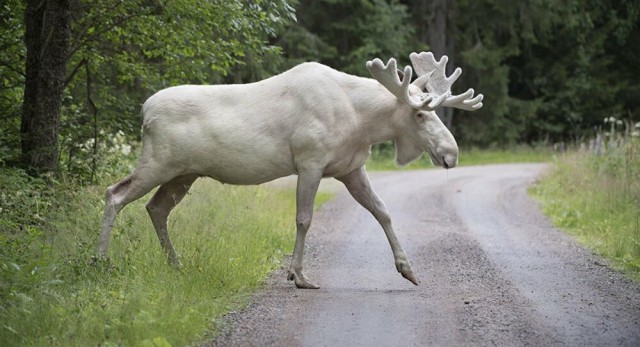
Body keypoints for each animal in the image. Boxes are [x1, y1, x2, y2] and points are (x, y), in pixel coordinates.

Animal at [99, 51, 480, 290]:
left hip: (184, 173)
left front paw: (408, 269)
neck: (362, 122)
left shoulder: (351, 167)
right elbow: (304, 219)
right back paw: (100, 261)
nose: (451, 153)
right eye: (420, 113)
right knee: (114, 194)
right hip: (159, 162)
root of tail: (144, 112)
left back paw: (175, 265)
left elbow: (383, 211)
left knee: (156, 207)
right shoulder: (310, 161)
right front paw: (298, 275)